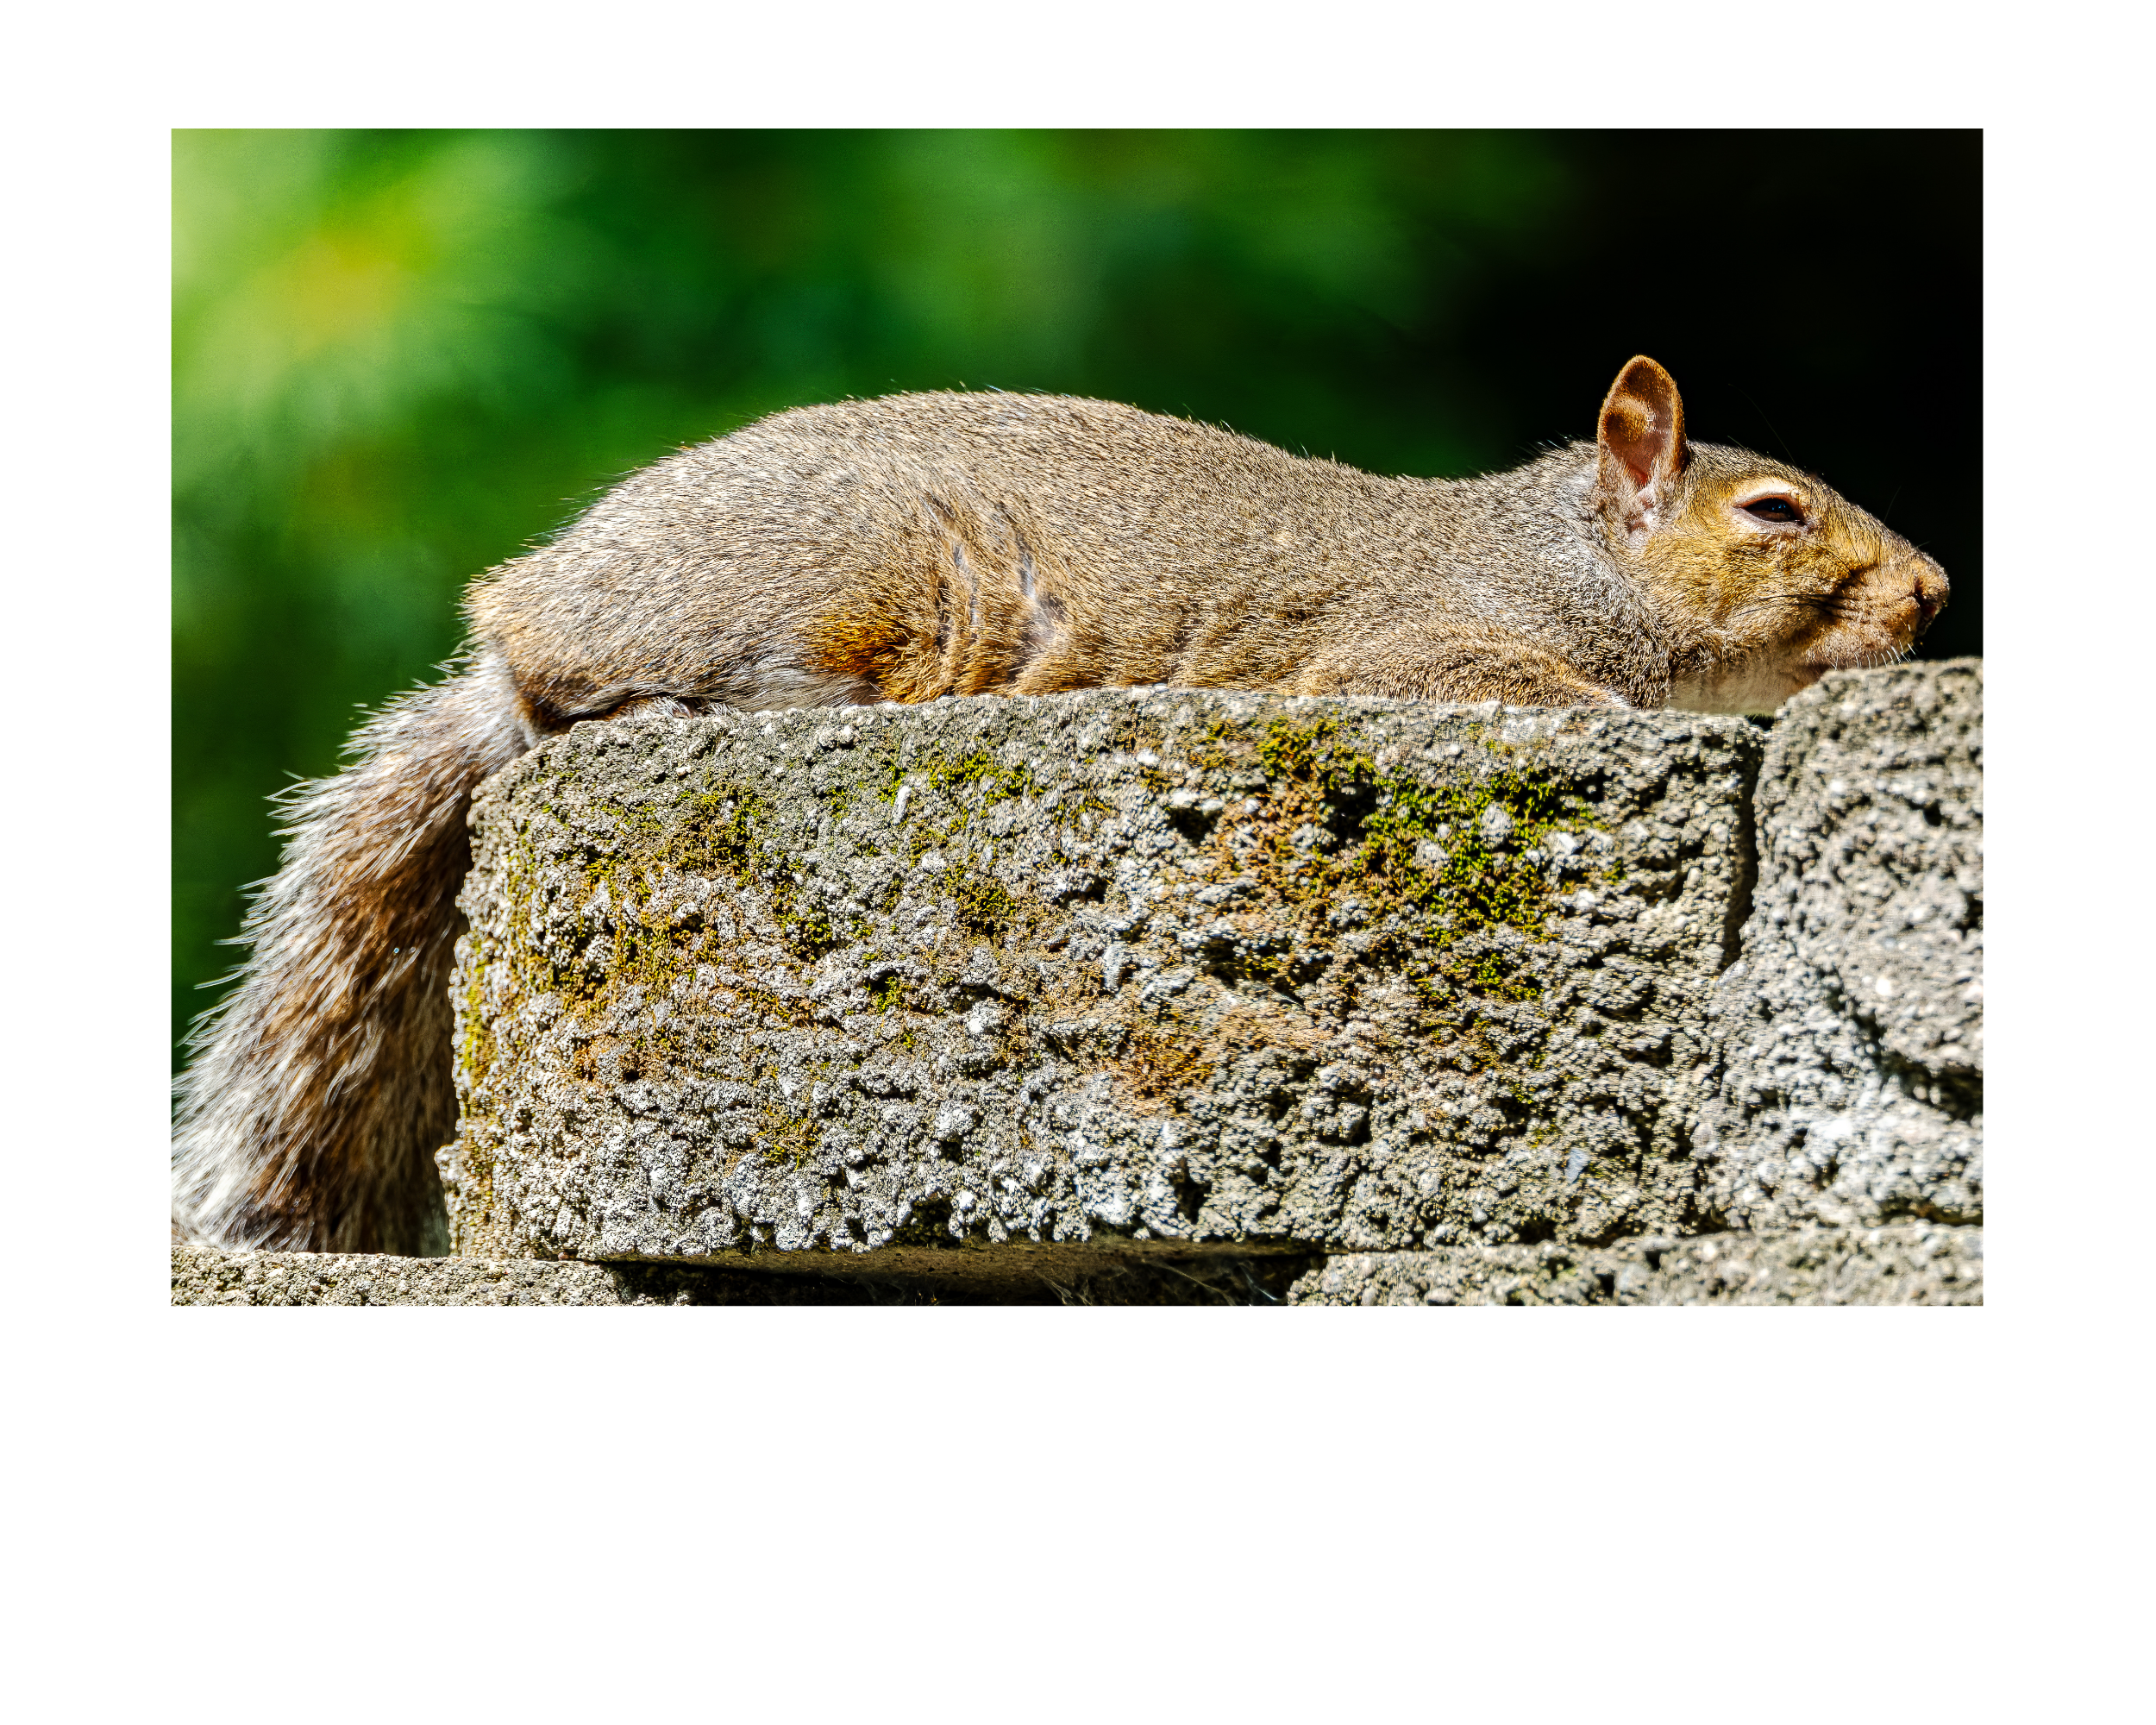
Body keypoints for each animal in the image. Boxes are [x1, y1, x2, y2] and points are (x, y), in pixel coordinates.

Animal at [172, 356, 1948, 1254]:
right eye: (1774, 512)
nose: (1935, 593)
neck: (1560, 562)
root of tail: (527, 603)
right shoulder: (1409, 654)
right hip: (847, 595)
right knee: (588, 693)